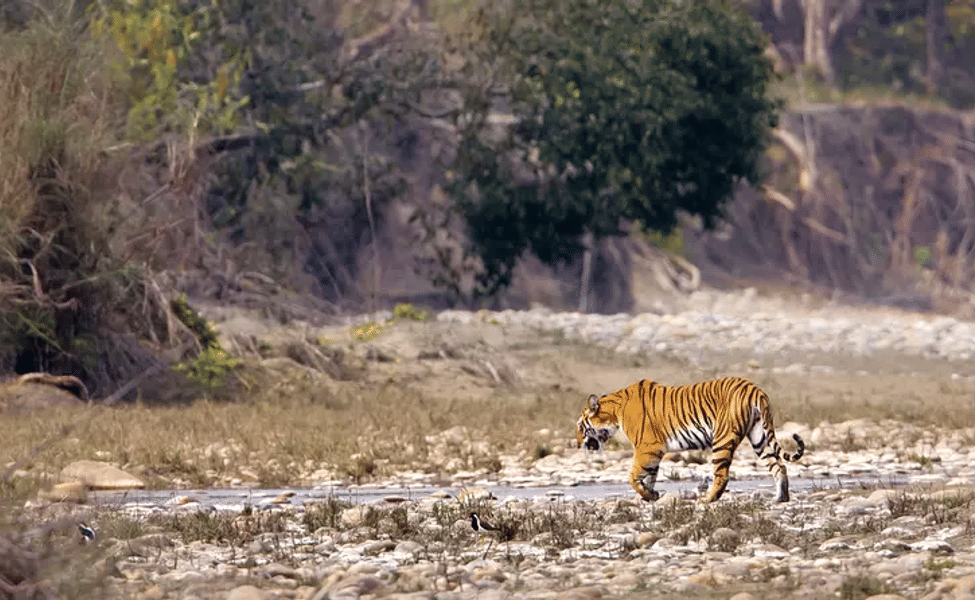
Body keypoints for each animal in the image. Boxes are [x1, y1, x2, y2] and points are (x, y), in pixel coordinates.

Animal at [576, 376, 805, 503]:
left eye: (580, 427)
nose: (578, 443)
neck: (614, 412)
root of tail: (753, 388)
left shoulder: (647, 448)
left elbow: (633, 476)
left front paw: (649, 496)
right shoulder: (653, 453)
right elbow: (649, 476)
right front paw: (650, 496)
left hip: (722, 440)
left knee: (722, 476)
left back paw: (707, 500)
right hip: (760, 438)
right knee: (779, 467)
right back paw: (780, 499)